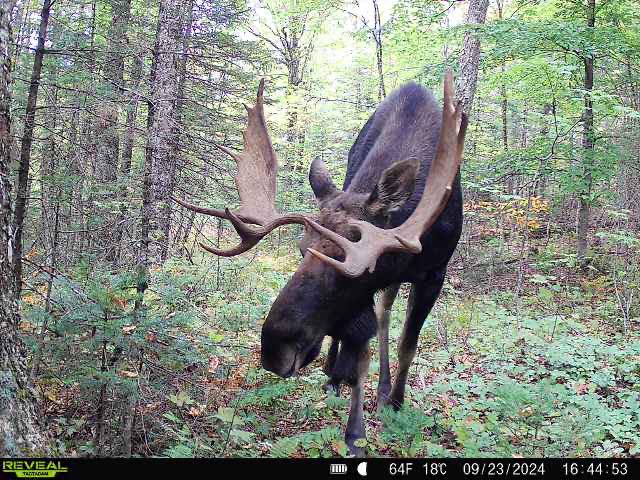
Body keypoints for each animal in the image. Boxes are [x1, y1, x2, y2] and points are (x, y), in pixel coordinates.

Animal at [174, 71, 467, 456]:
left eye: (348, 262)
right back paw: (336, 375)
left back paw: (382, 388)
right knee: (372, 323)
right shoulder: (365, 295)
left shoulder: (433, 273)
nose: (275, 348)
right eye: (303, 249)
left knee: (386, 315)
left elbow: (407, 344)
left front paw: (395, 404)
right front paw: (355, 430)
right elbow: (359, 353)